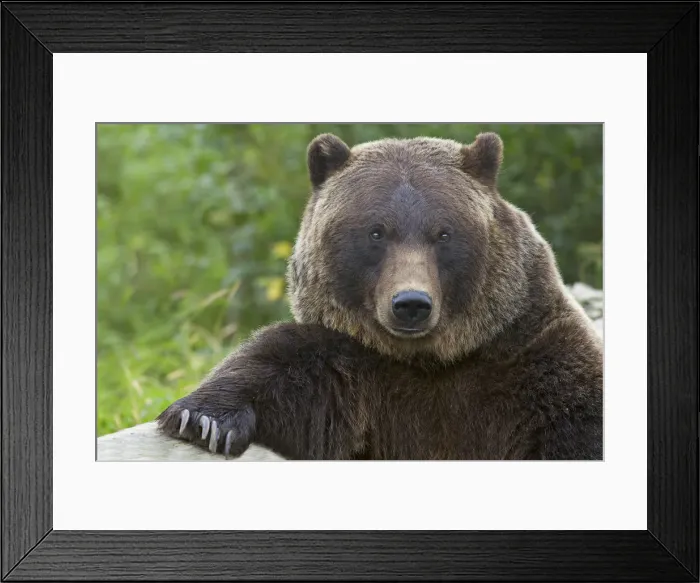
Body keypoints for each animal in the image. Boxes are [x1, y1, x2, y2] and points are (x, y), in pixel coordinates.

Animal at [156, 132, 603, 460]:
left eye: (444, 233)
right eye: (376, 231)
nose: (411, 304)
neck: (432, 359)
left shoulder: (530, 359)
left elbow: (580, 419)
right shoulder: (352, 370)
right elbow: (272, 365)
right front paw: (204, 420)